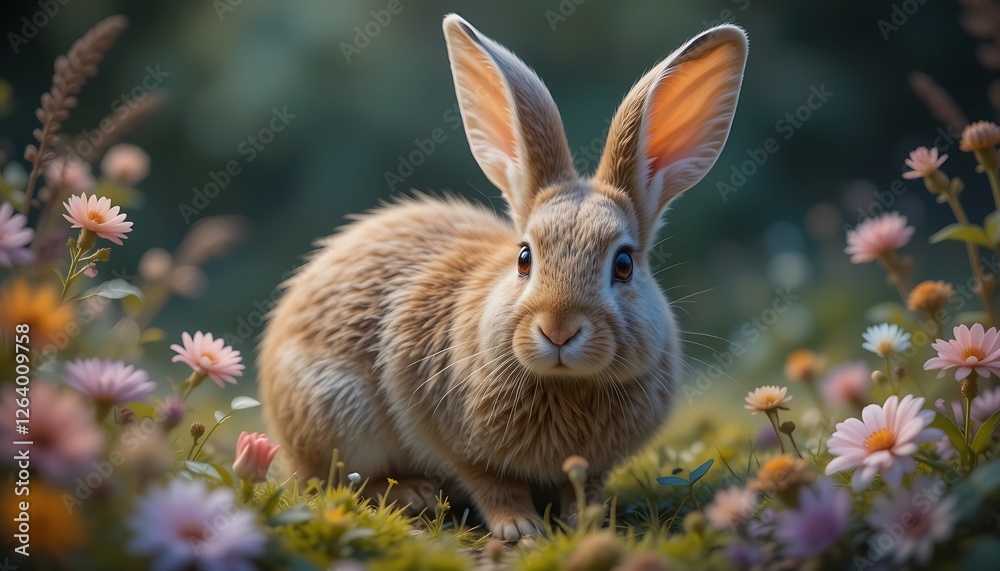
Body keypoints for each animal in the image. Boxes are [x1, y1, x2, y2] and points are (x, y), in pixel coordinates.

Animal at [259, 14, 748, 541]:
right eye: (524, 258)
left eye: (624, 264)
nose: (558, 330)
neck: (564, 384)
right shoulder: (456, 442)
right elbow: (492, 483)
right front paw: (520, 528)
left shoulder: (591, 467)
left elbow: (582, 487)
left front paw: (587, 523)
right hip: (336, 414)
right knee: (333, 481)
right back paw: (415, 494)